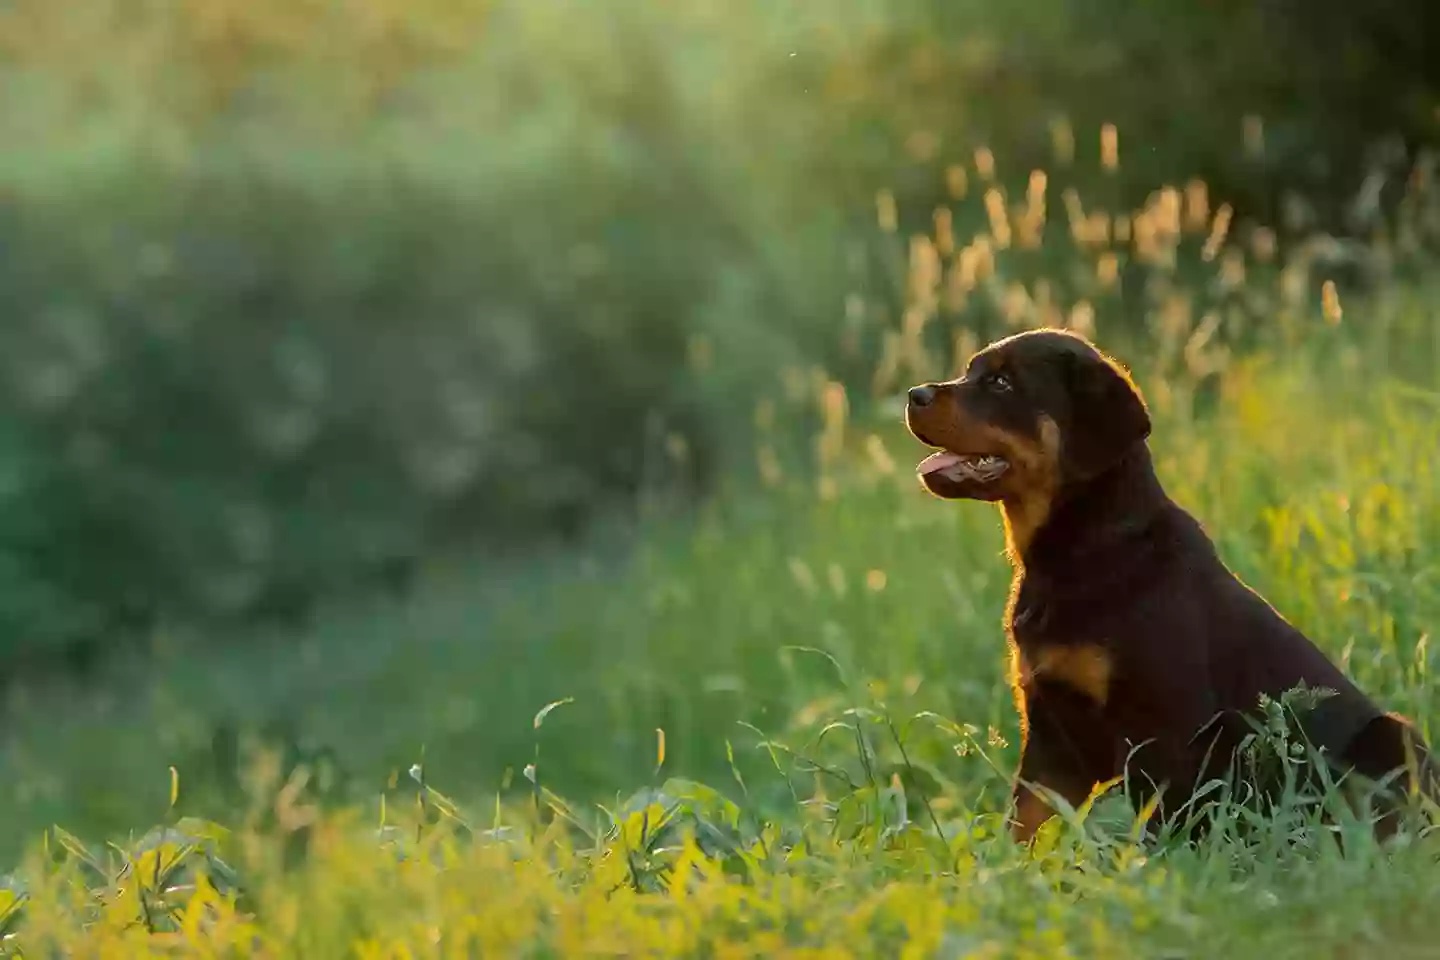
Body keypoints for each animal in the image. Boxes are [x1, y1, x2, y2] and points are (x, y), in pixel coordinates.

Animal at [904, 328, 1434, 840]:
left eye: (1002, 383)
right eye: (971, 371)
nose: (915, 394)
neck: (1081, 550)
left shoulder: (1164, 730)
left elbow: (1157, 830)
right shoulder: (1049, 732)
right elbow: (1025, 823)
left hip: (1394, 739)